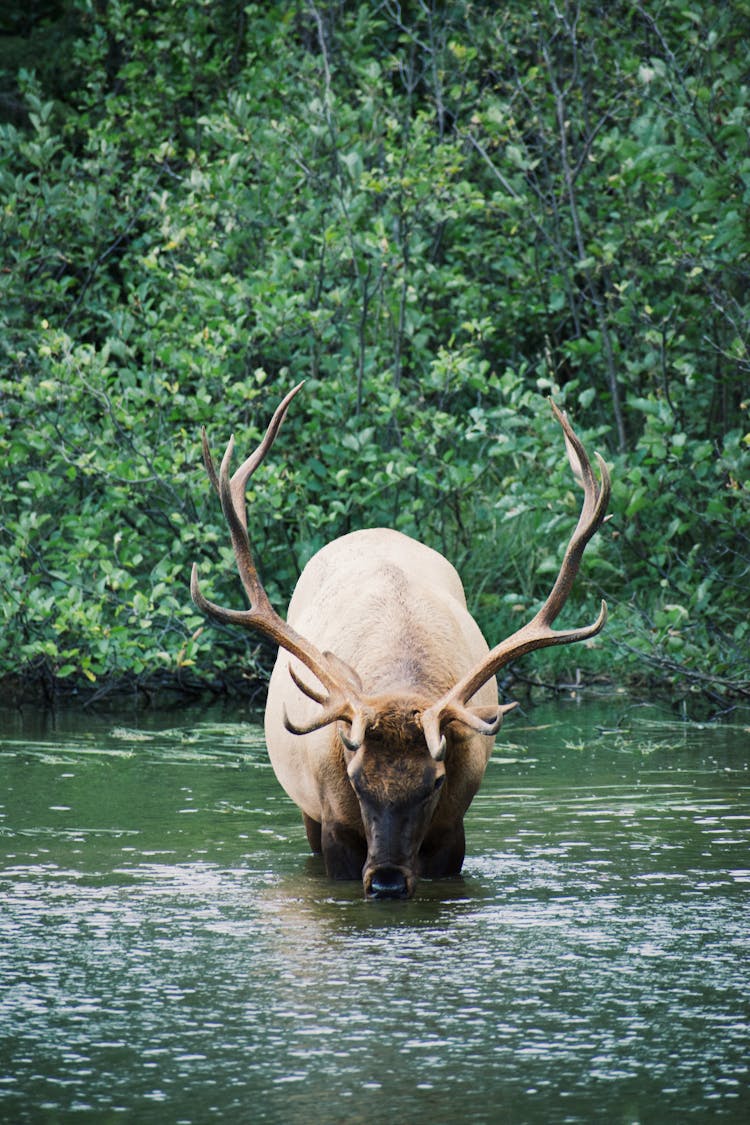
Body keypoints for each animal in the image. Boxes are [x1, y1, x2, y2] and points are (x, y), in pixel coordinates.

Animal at [192, 391, 611, 900]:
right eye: (356, 779)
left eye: (436, 781)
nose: (387, 883)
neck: (399, 681)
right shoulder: (333, 825)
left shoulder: (453, 829)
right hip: (306, 809)